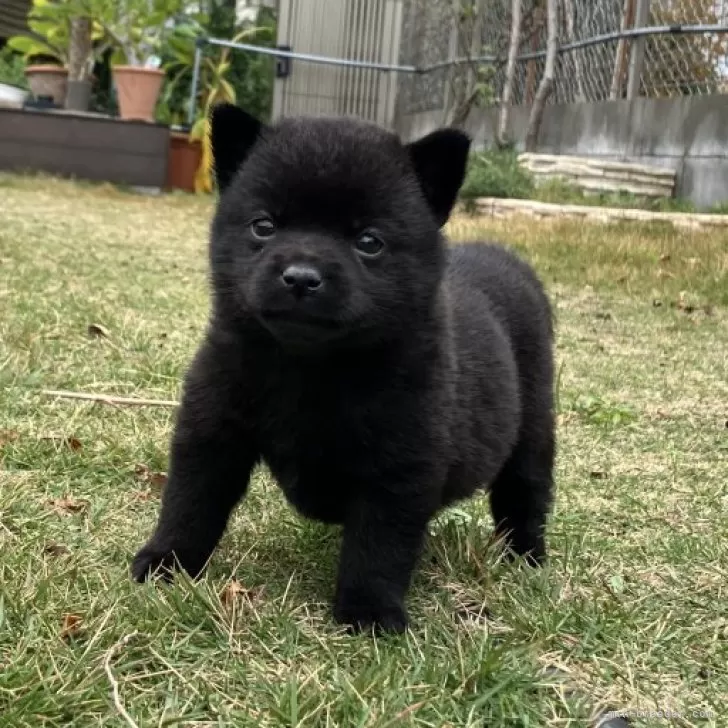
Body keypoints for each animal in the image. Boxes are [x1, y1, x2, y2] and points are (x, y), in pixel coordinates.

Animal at [132, 105, 552, 636]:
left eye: (368, 241)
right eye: (263, 226)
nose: (300, 277)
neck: (312, 367)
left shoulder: (398, 467)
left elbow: (378, 546)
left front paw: (369, 611)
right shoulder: (213, 431)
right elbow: (190, 503)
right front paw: (167, 561)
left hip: (533, 432)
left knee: (525, 495)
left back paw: (526, 557)